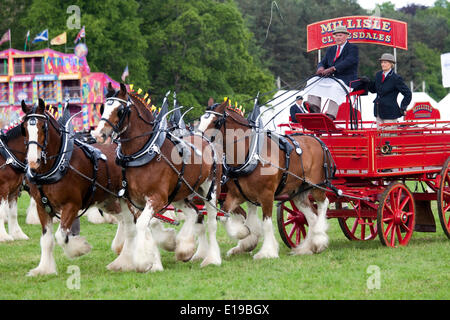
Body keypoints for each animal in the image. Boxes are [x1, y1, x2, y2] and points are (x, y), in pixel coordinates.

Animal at [20, 99, 176, 276]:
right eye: (24, 128)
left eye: (43, 127)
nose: (33, 161)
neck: (58, 164)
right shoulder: (42, 207)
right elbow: (46, 240)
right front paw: (44, 269)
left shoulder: (72, 205)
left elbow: (61, 236)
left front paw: (79, 248)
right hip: (115, 201)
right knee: (133, 226)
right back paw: (127, 260)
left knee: (145, 224)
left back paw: (156, 257)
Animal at [92, 84, 223, 272]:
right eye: (103, 108)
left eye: (120, 110)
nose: (98, 134)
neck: (144, 153)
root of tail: (205, 138)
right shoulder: (134, 200)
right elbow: (143, 226)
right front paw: (150, 261)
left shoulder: (157, 198)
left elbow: (142, 225)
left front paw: (143, 261)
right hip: (179, 194)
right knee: (193, 213)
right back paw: (184, 248)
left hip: (210, 190)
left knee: (211, 222)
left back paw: (212, 258)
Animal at [197, 100, 334, 258]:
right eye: (200, 119)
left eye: (216, 121)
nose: (198, 142)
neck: (251, 154)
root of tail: (318, 141)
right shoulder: (237, 194)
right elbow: (225, 217)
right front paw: (244, 234)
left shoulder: (267, 195)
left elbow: (266, 224)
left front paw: (267, 252)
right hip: (298, 192)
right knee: (310, 216)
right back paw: (307, 247)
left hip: (317, 186)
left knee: (323, 204)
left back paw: (319, 238)